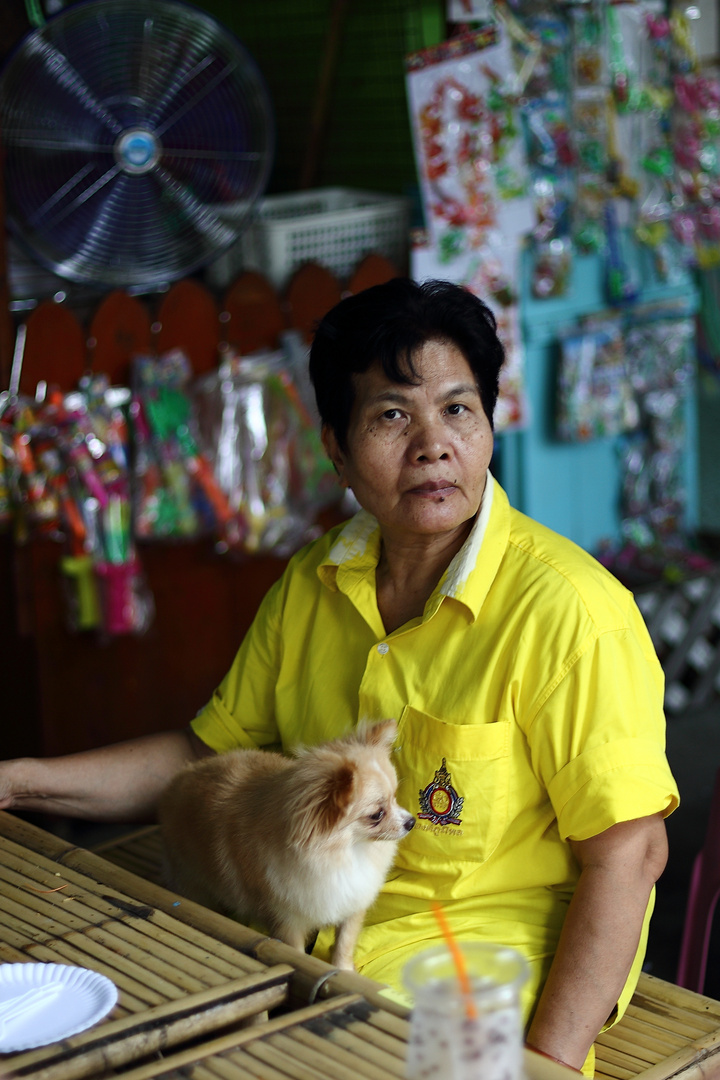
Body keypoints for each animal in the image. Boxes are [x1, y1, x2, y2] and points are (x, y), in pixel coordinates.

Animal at [159, 721, 414, 967]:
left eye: (395, 797)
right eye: (377, 815)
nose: (411, 821)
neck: (345, 852)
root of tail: (178, 781)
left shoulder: (352, 901)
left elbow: (344, 944)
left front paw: (344, 970)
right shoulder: (287, 920)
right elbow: (296, 955)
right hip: (192, 885)